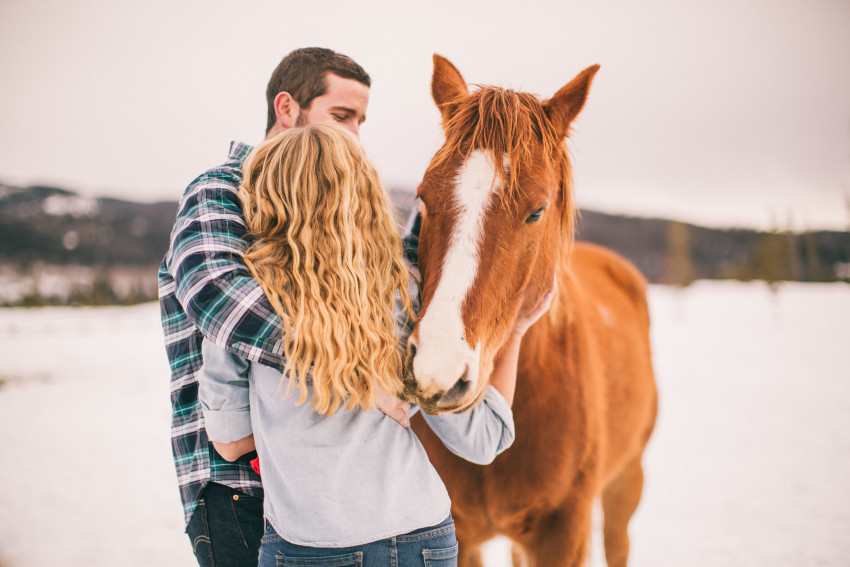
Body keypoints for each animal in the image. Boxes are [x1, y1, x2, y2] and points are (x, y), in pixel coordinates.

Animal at [402, 54, 656, 567]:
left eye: (536, 211)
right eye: (423, 197)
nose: (437, 371)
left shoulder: (563, 533)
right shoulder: (460, 536)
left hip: (626, 481)